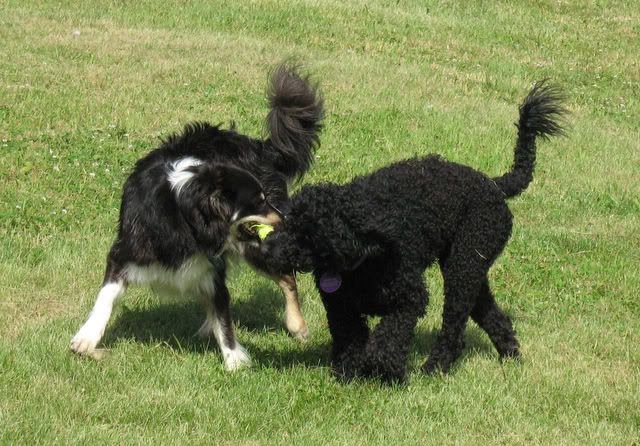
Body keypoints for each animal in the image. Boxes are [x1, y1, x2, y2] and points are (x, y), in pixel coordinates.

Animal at [70, 63, 324, 370]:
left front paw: (234, 361)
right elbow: (105, 296)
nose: (286, 219)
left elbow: (224, 316)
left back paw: (296, 325)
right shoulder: (128, 247)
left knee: (287, 278)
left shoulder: (212, 265)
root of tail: (262, 148)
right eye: (258, 201)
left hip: (256, 249)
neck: (184, 216)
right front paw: (87, 338)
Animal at [254, 83, 564, 384]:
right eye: (288, 223)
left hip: (465, 265)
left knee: (454, 328)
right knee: (490, 313)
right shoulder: (342, 309)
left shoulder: (409, 299)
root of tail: (494, 184)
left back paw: (436, 366)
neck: (363, 255)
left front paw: (386, 370)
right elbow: (350, 341)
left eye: (307, 235)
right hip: (469, 265)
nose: (266, 249)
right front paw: (347, 373)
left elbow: (387, 339)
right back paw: (509, 353)